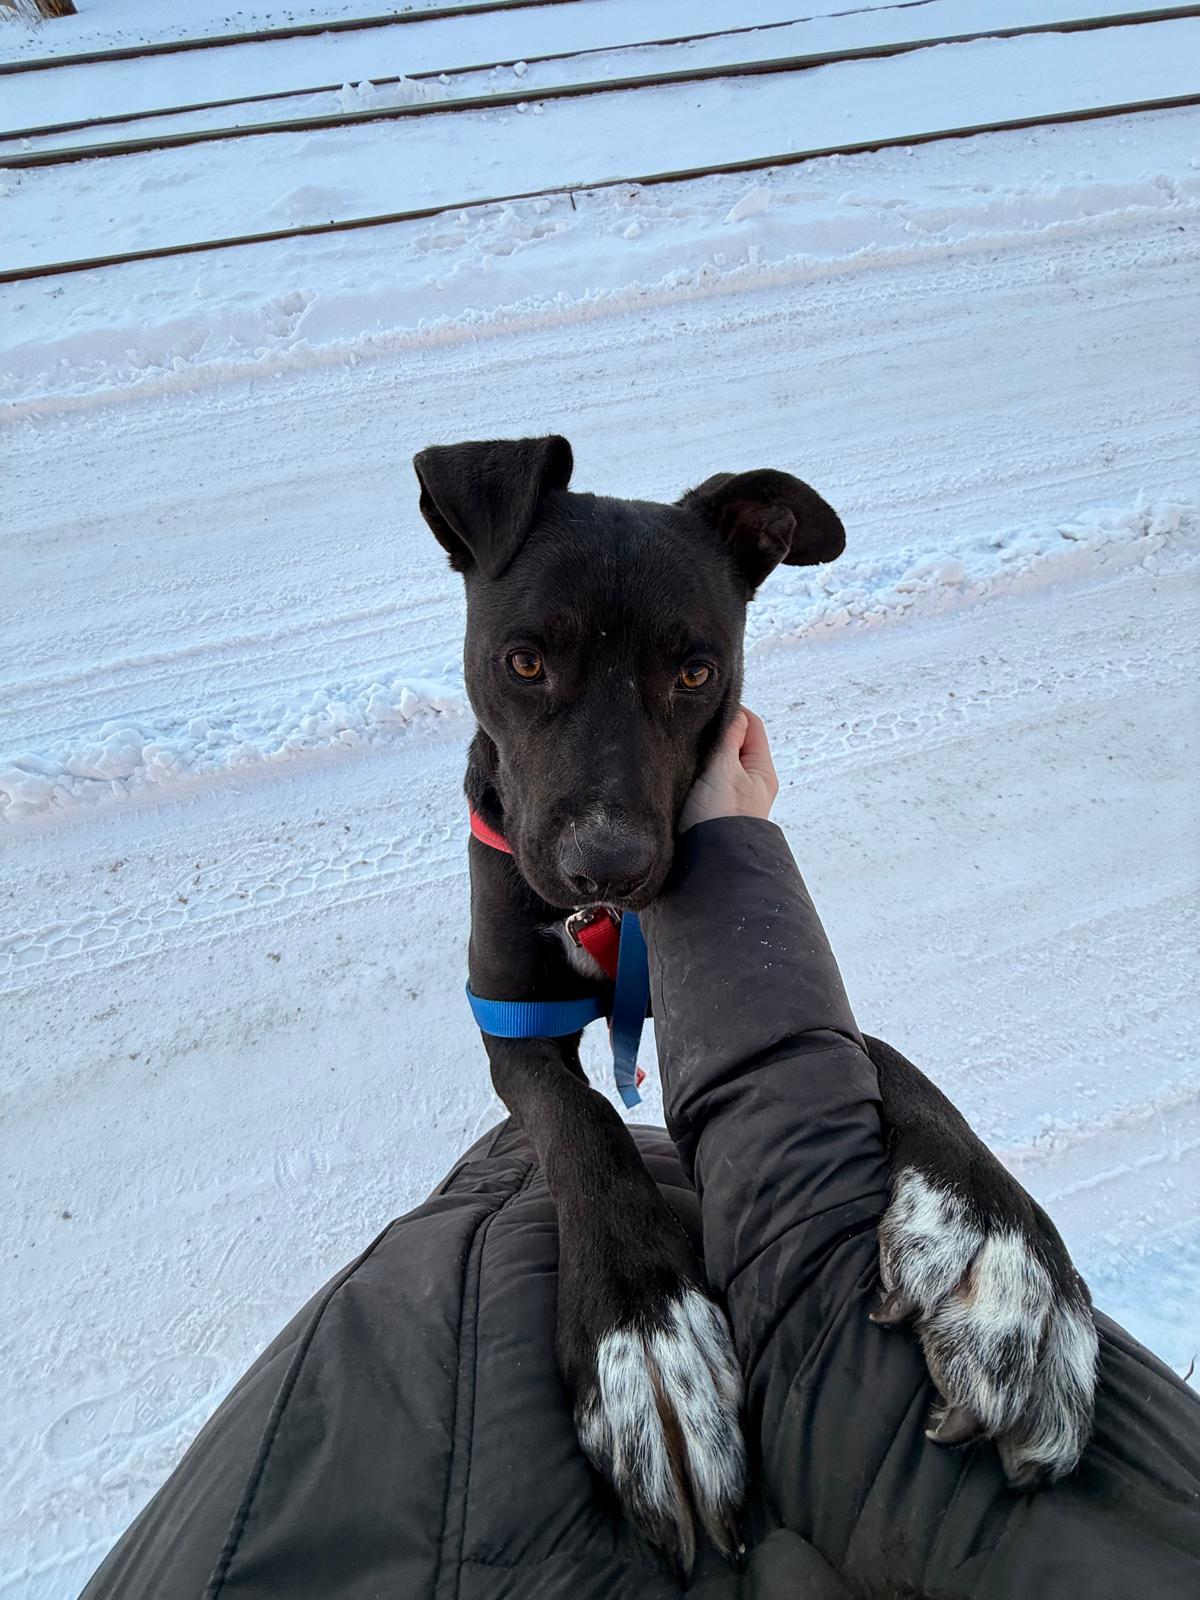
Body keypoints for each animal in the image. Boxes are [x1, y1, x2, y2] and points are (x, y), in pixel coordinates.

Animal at [414, 435, 1098, 1571]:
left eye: (696, 672)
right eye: (525, 662)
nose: (609, 865)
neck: (610, 929)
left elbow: (861, 1043)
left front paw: (994, 1241)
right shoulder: (511, 1021)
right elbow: (581, 1118)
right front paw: (647, 1334)